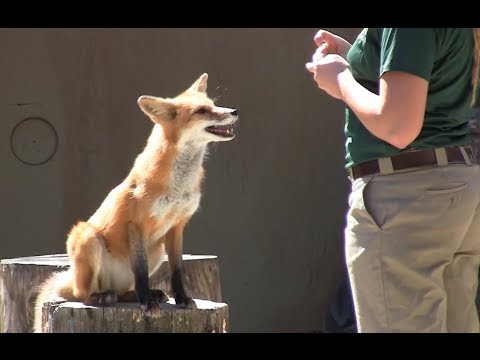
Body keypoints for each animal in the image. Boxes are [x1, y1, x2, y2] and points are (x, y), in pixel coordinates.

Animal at [32, 73, 239, 332]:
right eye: (201, 111)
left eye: (213, 104)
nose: (234, 111)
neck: (178, 186)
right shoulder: (137, 224)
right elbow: (141, 271)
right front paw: (147, 303)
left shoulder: (177, 226)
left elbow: (177, 270)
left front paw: (181, 299)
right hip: (87, 238)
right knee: (82, 295)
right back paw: (104, 297)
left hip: (157, 250)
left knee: (120, 292)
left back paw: (139, 295)